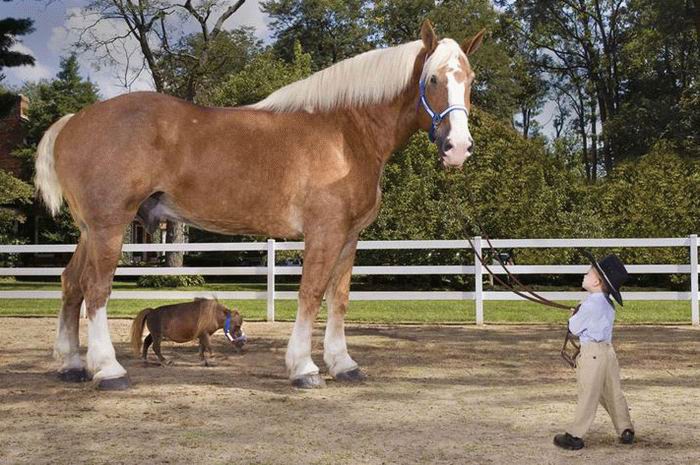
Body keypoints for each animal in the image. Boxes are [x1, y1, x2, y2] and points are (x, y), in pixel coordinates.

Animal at [37, 20, 482, 388]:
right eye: (433, 78)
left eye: (471, 79)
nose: (458, 147)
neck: (345, 132)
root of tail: (73, 121)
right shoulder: (324, 232)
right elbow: (311, 294)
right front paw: (304, 368)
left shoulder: (349, 236)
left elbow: (338, 299)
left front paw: (343, 365)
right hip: (109, 226)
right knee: (95, 289)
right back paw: (108, 370)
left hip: (90, 230)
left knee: (71, 283)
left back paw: (72, 365)